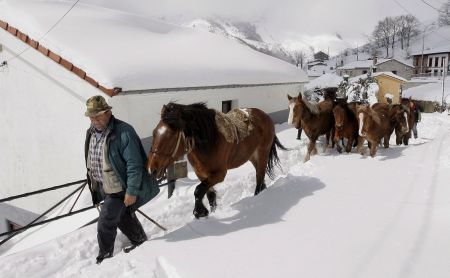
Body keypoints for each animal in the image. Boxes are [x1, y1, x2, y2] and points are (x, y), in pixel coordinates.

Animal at [148, 102, 288, 219]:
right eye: (154, 133)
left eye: (171, 136)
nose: (151, 169)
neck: (209, 141)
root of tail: (265, 116)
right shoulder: (201, 174)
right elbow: (209, 195)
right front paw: (209, 212)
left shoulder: (219, 174)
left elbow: (198, 190)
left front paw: (199, 212)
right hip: (253, 156)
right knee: (261, 176)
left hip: (263, 153)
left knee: (259, 176)